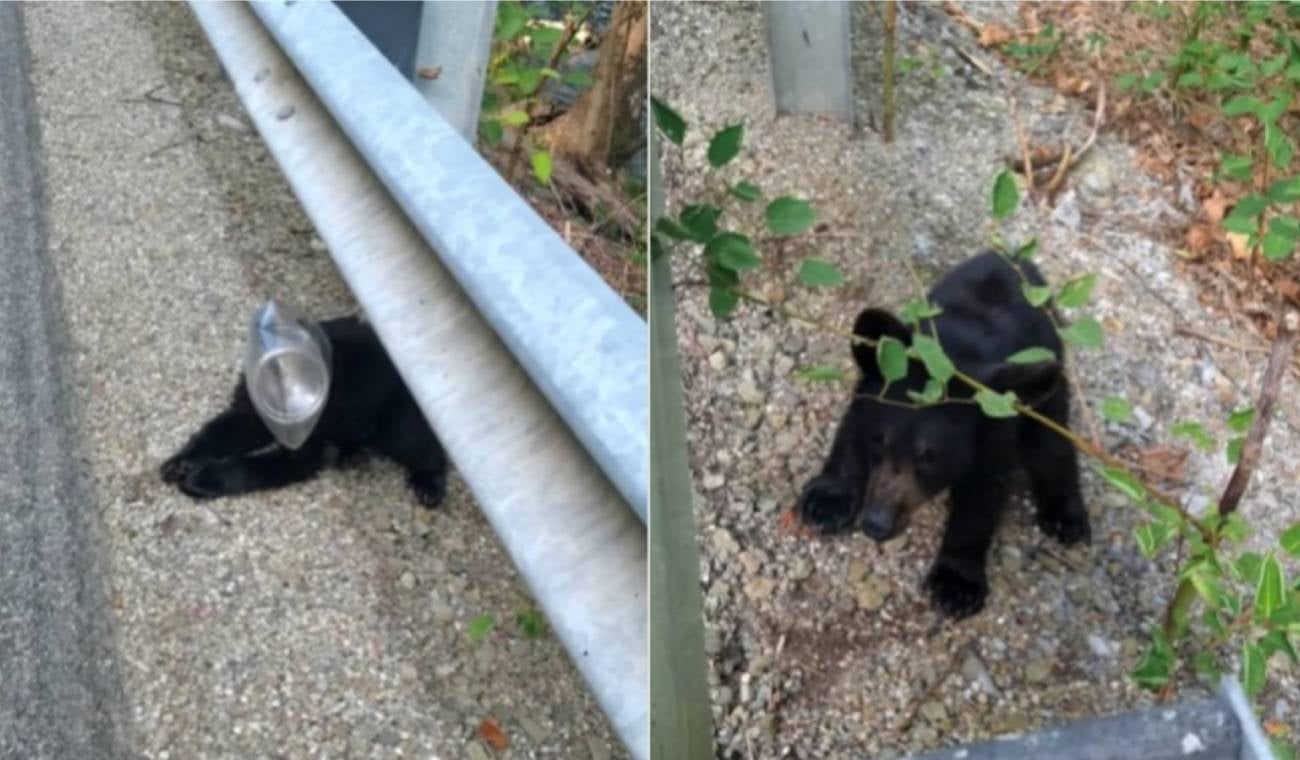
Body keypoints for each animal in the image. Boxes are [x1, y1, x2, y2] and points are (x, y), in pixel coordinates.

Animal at [161, 316, 448, 506]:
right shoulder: (249, 416)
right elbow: (216, 434)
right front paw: (182, 461)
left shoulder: (302, 453)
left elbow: (252, 467)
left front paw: (205, 479)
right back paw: (349, 453)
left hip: (398, 425)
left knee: (426, 449)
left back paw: (428, 485)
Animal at [796, 251, 1090, 618]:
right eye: (879, 441)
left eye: (932, 456)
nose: (876, 524)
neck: (953, 353)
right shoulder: (872, 393)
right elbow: (850, 434)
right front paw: (825, 501)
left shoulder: (993, 435)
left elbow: (980, 499)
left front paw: (956, 583)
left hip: (1047, 386)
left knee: (1051, 444)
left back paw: (1067, 517)